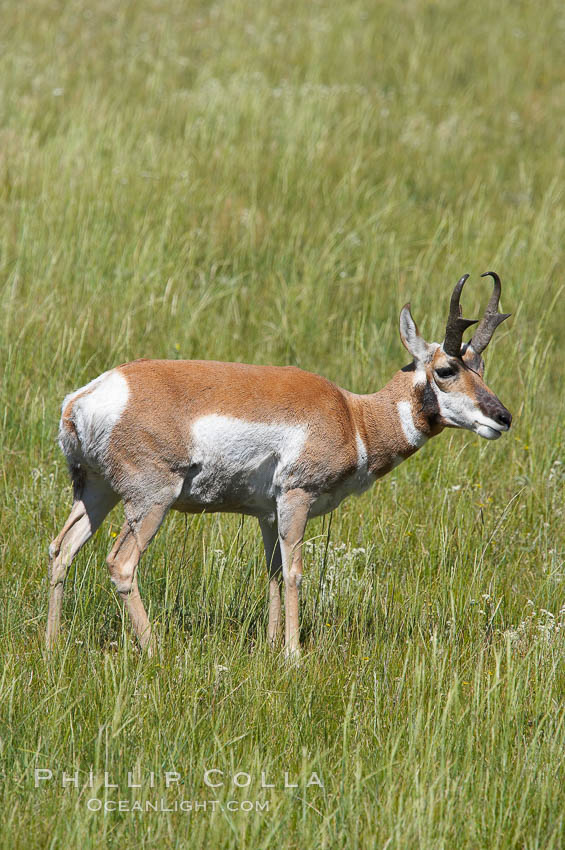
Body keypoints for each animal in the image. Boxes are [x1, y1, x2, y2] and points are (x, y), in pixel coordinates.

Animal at [47, 272, 512, 656]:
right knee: (121, 564)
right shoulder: (295, 498)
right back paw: (155, 649)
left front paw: (271, 647)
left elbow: (271, 572)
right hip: (151, 501)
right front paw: (292, 654)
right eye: (447, 369)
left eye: (480, 366)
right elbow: (294, 573)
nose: (503, 417)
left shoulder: (266, 514)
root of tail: (84, 398)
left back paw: (51, 647)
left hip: (96, 493)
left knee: (60, 549)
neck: (353, 417)